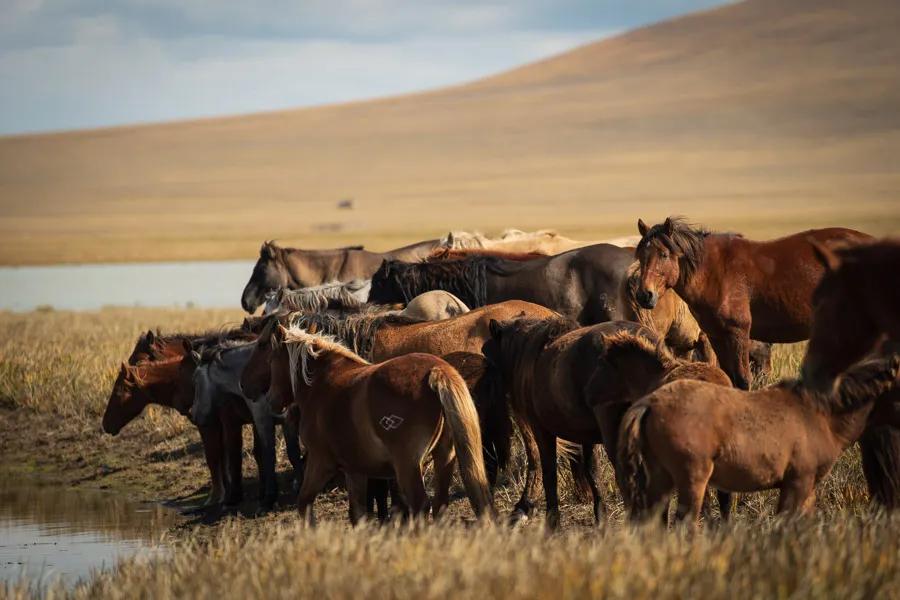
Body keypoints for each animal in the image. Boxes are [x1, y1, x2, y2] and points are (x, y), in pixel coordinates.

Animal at [240, 324, 495, 523]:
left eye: (262, 345)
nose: (244, 385)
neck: (320, 385)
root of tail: (435, 371)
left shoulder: (321, 462)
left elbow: (304, 503)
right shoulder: (355, 470)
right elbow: (358, 514)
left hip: (408, 466)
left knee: (420, 505)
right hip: (443, 458)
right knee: (439, 505)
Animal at [484, 317, 731, 528]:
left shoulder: (542, 430)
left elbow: (549, 474)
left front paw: (551, 524)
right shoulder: (587, 435)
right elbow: (592, 472)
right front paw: (600, 519)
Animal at [618, 355, 900, 525]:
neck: (820, 414)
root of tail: (651, 401)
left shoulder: (806, 486)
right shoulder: (797, 482)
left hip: (661, 480)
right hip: (692, 480)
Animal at [633, 216, 871, 389]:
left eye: (664, 254)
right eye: (641, 256)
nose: (644, 295)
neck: (713, 272)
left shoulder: (738, 333)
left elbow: (742, 380)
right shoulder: (717, 336)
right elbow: (729, 378)